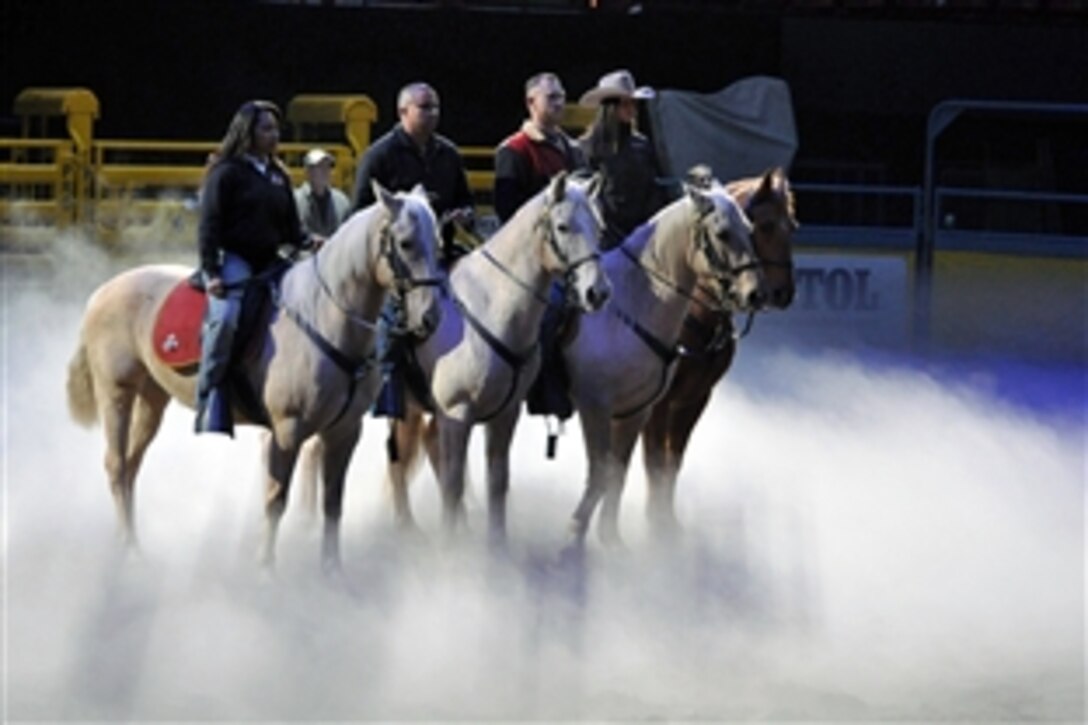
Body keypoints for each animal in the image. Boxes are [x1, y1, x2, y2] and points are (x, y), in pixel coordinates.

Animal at [63, 183, 443, 566]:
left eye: (439, 242)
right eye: (406, 243)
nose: (430, 318)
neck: (323, 316)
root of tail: (102, 292)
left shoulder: (344, 431)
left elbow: (333, 504)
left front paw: (331, 572)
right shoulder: (287, 430)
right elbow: (275, 501)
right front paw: (265, 570)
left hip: (152, 398)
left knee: (131, 465)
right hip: (116, 392)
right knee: (116, 465)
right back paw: (130, 550)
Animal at [385, 170, 613, 542]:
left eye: (599, 227)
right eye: (562, 226)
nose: (598, 292)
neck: (490, 308)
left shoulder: (505, 413)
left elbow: (497, 482)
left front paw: (495, 548)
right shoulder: (456, 414)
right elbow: (452, 485)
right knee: (398, 462)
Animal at [561, 180, 765, 548]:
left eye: (751, 230)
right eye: (723, 233)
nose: (755, 294)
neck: (631, 306)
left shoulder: (639, 409)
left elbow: (620, 472)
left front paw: (611, 538)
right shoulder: (597, 406)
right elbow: (609, 471)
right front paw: (576, 535)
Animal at [635, 166, 800, 533]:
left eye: (793, 226)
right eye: (764, 226)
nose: (781, 293)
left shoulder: (695, 398)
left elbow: (673, 460)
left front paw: (667, 521)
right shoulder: (659, 403)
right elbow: (654, 460)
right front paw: (654, 524)